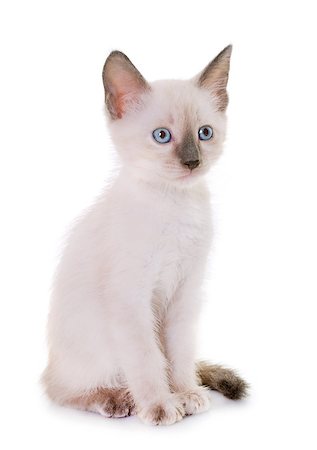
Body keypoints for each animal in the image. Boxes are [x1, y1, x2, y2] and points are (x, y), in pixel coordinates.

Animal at [42, 45, 247, 426]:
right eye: (162, 136)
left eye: (205, 133)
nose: (192, 162)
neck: (175, 206)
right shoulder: (131, 299)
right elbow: (148, 359)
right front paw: (161, 406)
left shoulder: (184, 294)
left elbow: (177, 355)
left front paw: (185, 394)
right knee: (60, 390)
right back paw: (116, 399)